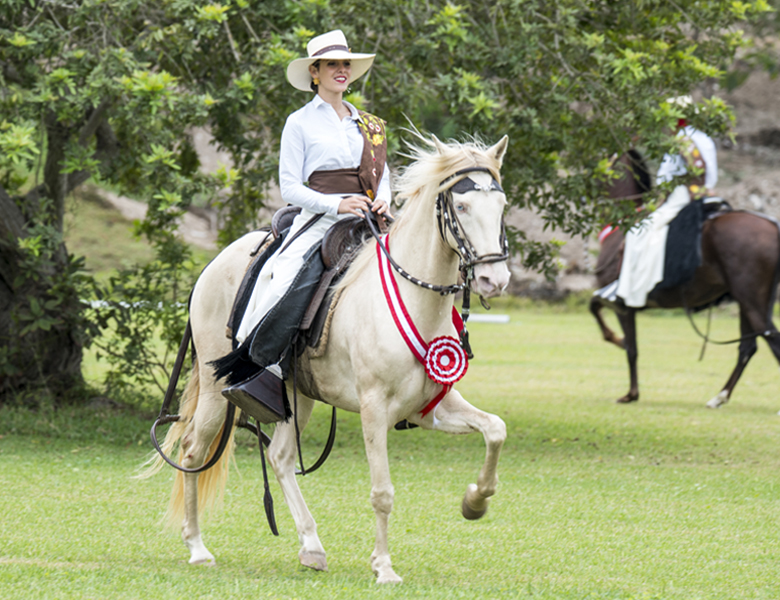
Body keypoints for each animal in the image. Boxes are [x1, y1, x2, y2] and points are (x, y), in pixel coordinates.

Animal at [146, 134, 512, 584]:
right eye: (461, 207)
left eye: (501, 204)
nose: (494, 280)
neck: (414, 301)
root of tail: (212, 266)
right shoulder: (374, 408)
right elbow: (382, 492)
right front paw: (384, 567)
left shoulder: (431, 406)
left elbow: (495, 430)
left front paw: (475, 502)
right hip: (218, 392)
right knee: (193, 451)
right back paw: (198, 548)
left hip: (296, 398)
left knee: (281, 458)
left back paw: (311, 547)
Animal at [592, 152, 780, 410]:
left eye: (605, 161)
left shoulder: (621, 303)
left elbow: (630, 347)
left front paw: (630, 392)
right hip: (748, 301)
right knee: (748, 347)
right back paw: (719, 397)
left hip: (752, 301)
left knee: (770, 341)